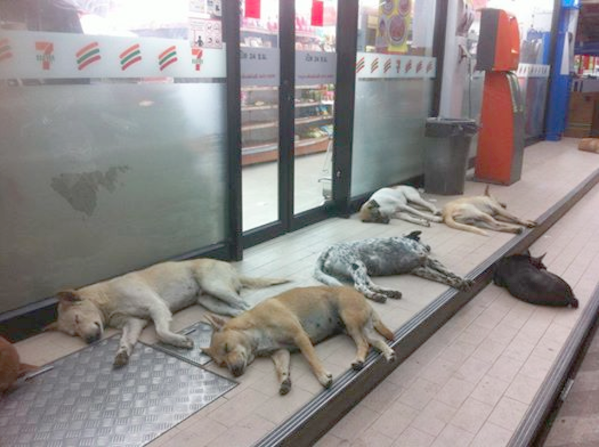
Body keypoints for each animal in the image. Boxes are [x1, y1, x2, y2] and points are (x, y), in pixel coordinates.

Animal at [45, 259, 289, 367]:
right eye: (73, 333)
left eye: (77, 318)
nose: (89, 340)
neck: (107, 300)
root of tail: (231, 267)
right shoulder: (133, 323)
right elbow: (126, 340)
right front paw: (122, 353)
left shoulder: (157, 306)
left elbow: (161, 331)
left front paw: (180, 341)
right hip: (210, 301)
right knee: (236, 310)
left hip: (214, 286)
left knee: (246, 305)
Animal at [202, 286, 395, 395]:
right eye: (222, 364)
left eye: (227, 347)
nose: (234, 371)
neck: (256, 330)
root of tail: (366, 301)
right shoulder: (280, 352)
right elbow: (281, 369)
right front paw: (284, 381)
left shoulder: (300, 337)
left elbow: (311, 359)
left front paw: (323, 377)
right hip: (354, 328)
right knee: (376, 341)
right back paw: (389, 354)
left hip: (350, 320)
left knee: (364, 343)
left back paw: (359, 360)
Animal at [313, 231, 470, 302]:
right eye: (420, 238)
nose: (429, 247)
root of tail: (327, 250)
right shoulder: (424, 260)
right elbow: (446, 274)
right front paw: (459, 282)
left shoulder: (420, 269)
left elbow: (446, 275)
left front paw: (461, 280)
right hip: (357, 266)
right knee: (360, 287)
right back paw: (375, 296)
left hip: (363, 270)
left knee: (370, 284)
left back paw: (390, 292)